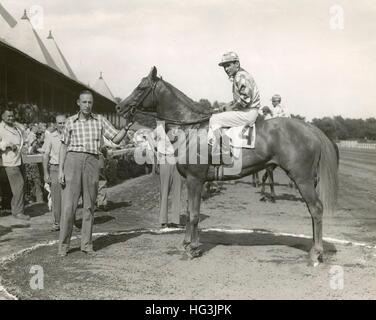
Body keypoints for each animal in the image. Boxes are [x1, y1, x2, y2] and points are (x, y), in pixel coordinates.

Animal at [116, 66, 340, 264]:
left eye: (141, 87)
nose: (119, 107)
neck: (191, 129)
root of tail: (310, 128)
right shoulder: (192, 181)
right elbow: (189, 212)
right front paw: (187, 243)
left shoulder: (195, 180)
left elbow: (194, 215)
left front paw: (193, 248)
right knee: (313, 211)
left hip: (302, 179)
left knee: (316, 209)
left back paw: (316, 253)